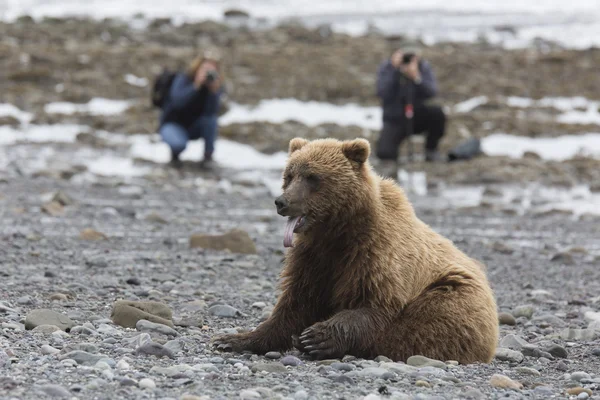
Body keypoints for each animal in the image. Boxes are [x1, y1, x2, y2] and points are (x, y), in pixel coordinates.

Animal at [213, 138, 500, 366]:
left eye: (313, 177)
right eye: (289, 175)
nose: (282, 201)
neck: (338, 232)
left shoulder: (376, 255)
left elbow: (373, 305)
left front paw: (316, 337)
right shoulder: (313, 258)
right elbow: (295, 303)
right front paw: (232, 339)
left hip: (453, 296)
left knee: (424, 327)